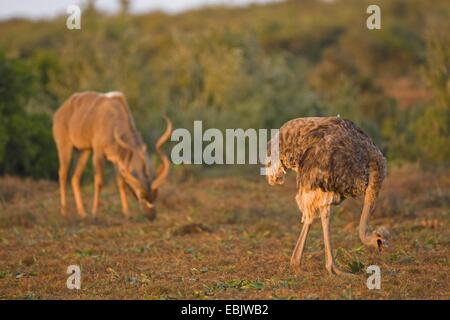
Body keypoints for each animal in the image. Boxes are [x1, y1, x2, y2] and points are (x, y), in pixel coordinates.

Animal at [52, 91, 172, 219]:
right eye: (141, 197)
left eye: (155, 196)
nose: (152, 216)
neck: (115, 120)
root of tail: (58, 113)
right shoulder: (98, 153)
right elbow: (99, 182)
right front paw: (95, 212)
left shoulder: (117, 160)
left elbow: (121, 183)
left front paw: (126, 213)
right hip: (64, 145)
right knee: (62, 174)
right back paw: (64, 211)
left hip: (84, 151)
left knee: (74, 178)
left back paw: (82, 213)